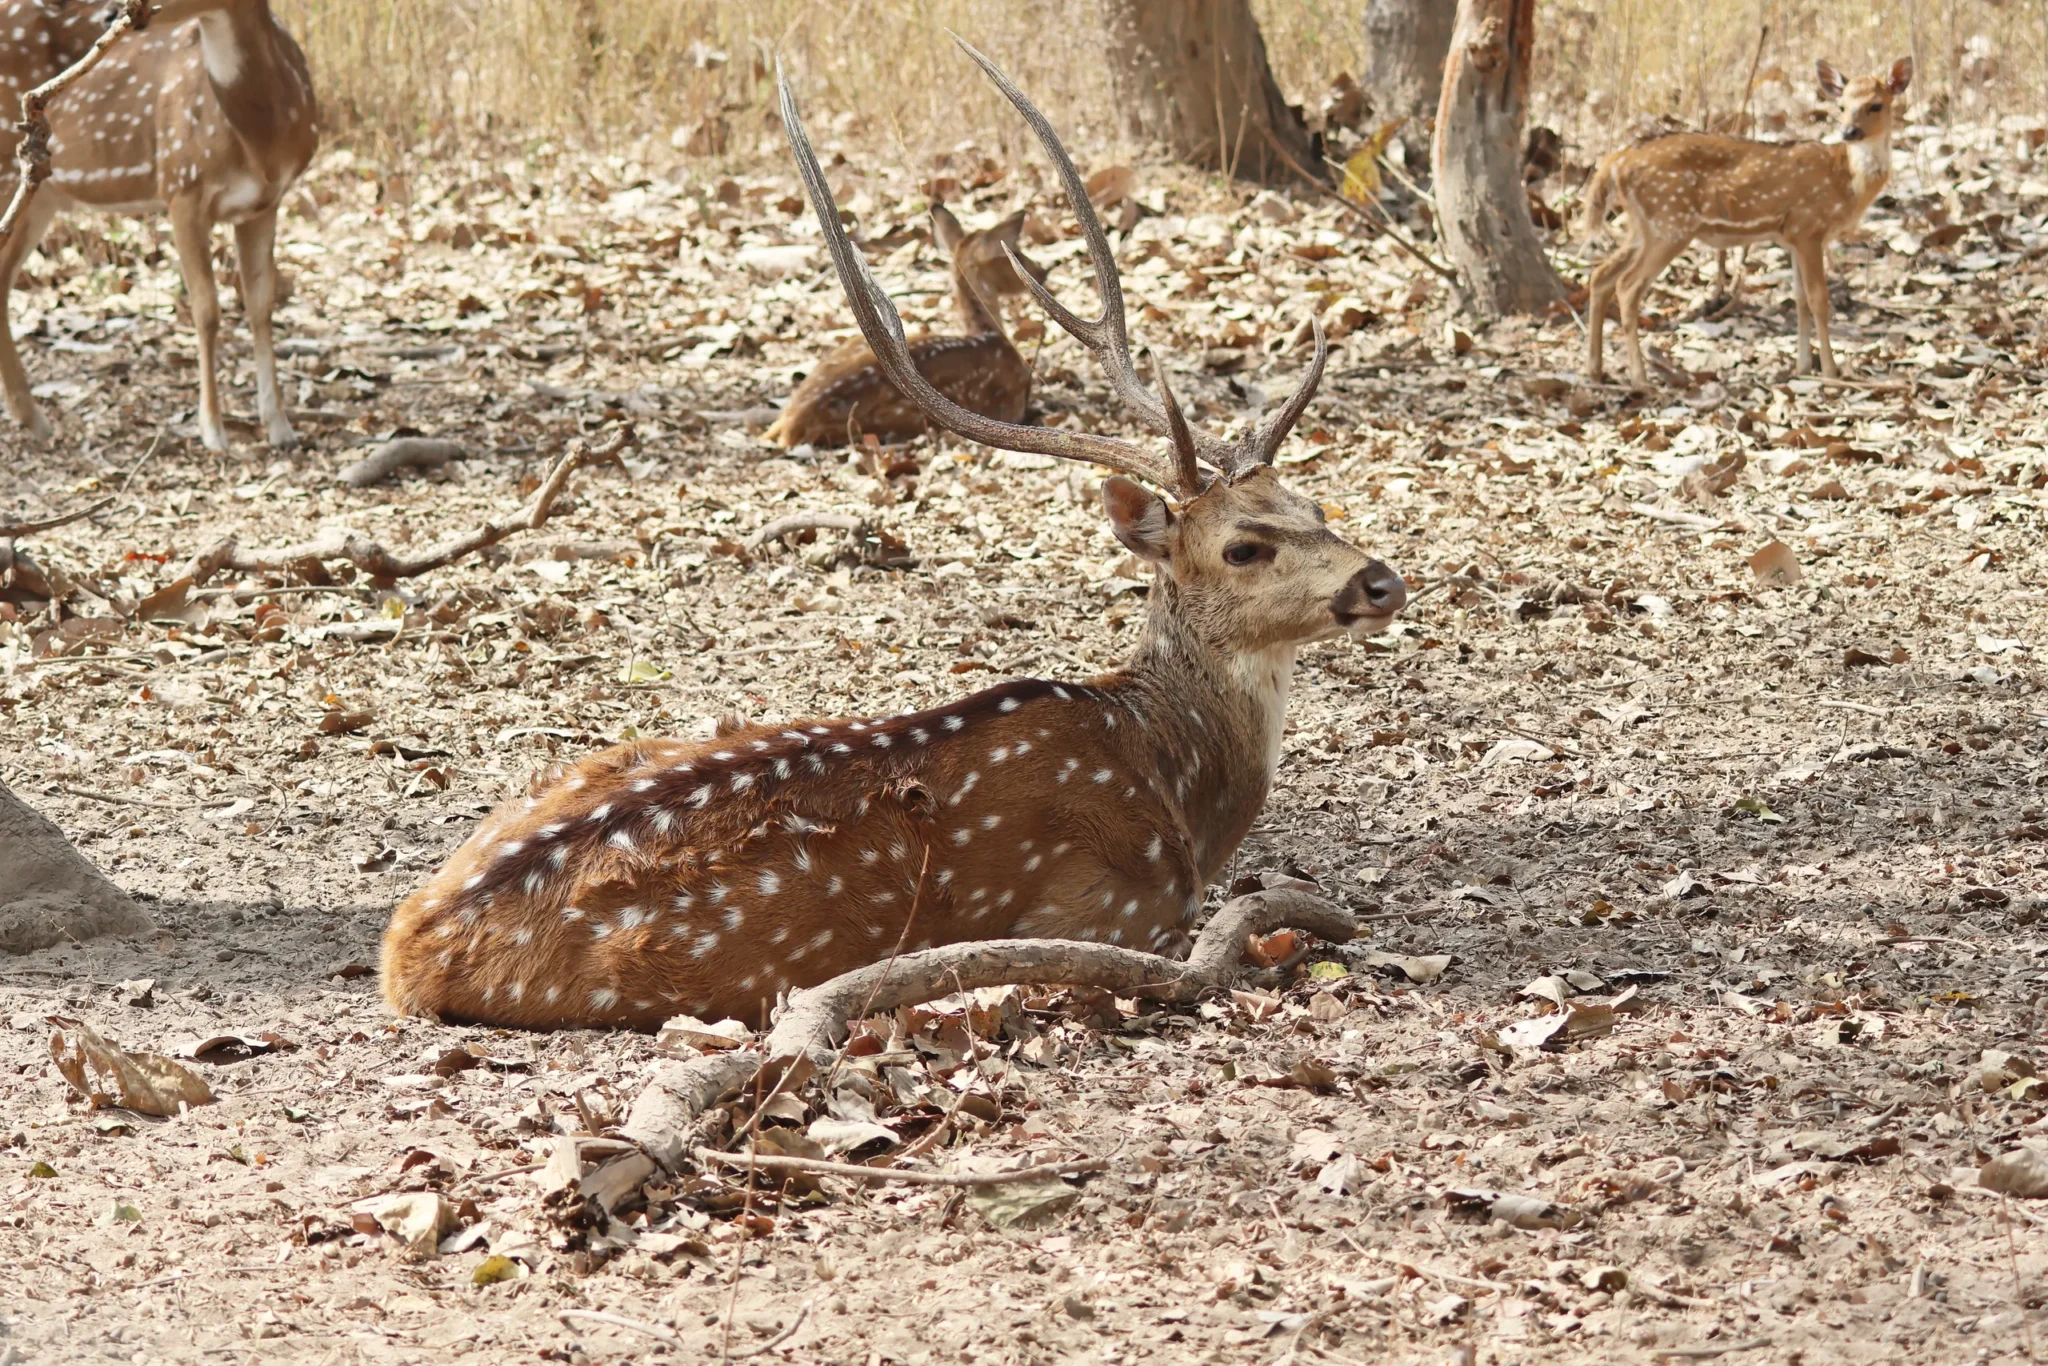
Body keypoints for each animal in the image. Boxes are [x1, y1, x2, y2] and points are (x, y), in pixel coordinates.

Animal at [0, 0, 318, 450]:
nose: (111, 13)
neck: (261, 143)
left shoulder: (264, 204)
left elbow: (260, 305)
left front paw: (279, 426)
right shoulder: (181, 186)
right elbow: (206, 310)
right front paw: (213, 430)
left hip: (42, 195)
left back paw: (33, 419)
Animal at [1581, 57, 1912, 387]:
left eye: (1876, 105)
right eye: (1841, 106)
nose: (1849, 131)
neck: (1846, 183)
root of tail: (1616, 162)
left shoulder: (1792, 235)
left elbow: (1799, 298)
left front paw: (1804, 367)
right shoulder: (1809, 227)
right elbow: (1819, 298)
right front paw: (1831, 373)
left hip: (1645, 226)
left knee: (1601, 275)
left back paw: (1595, 370)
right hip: (1670, 222)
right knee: (1627, 286)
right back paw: (1640, 379)